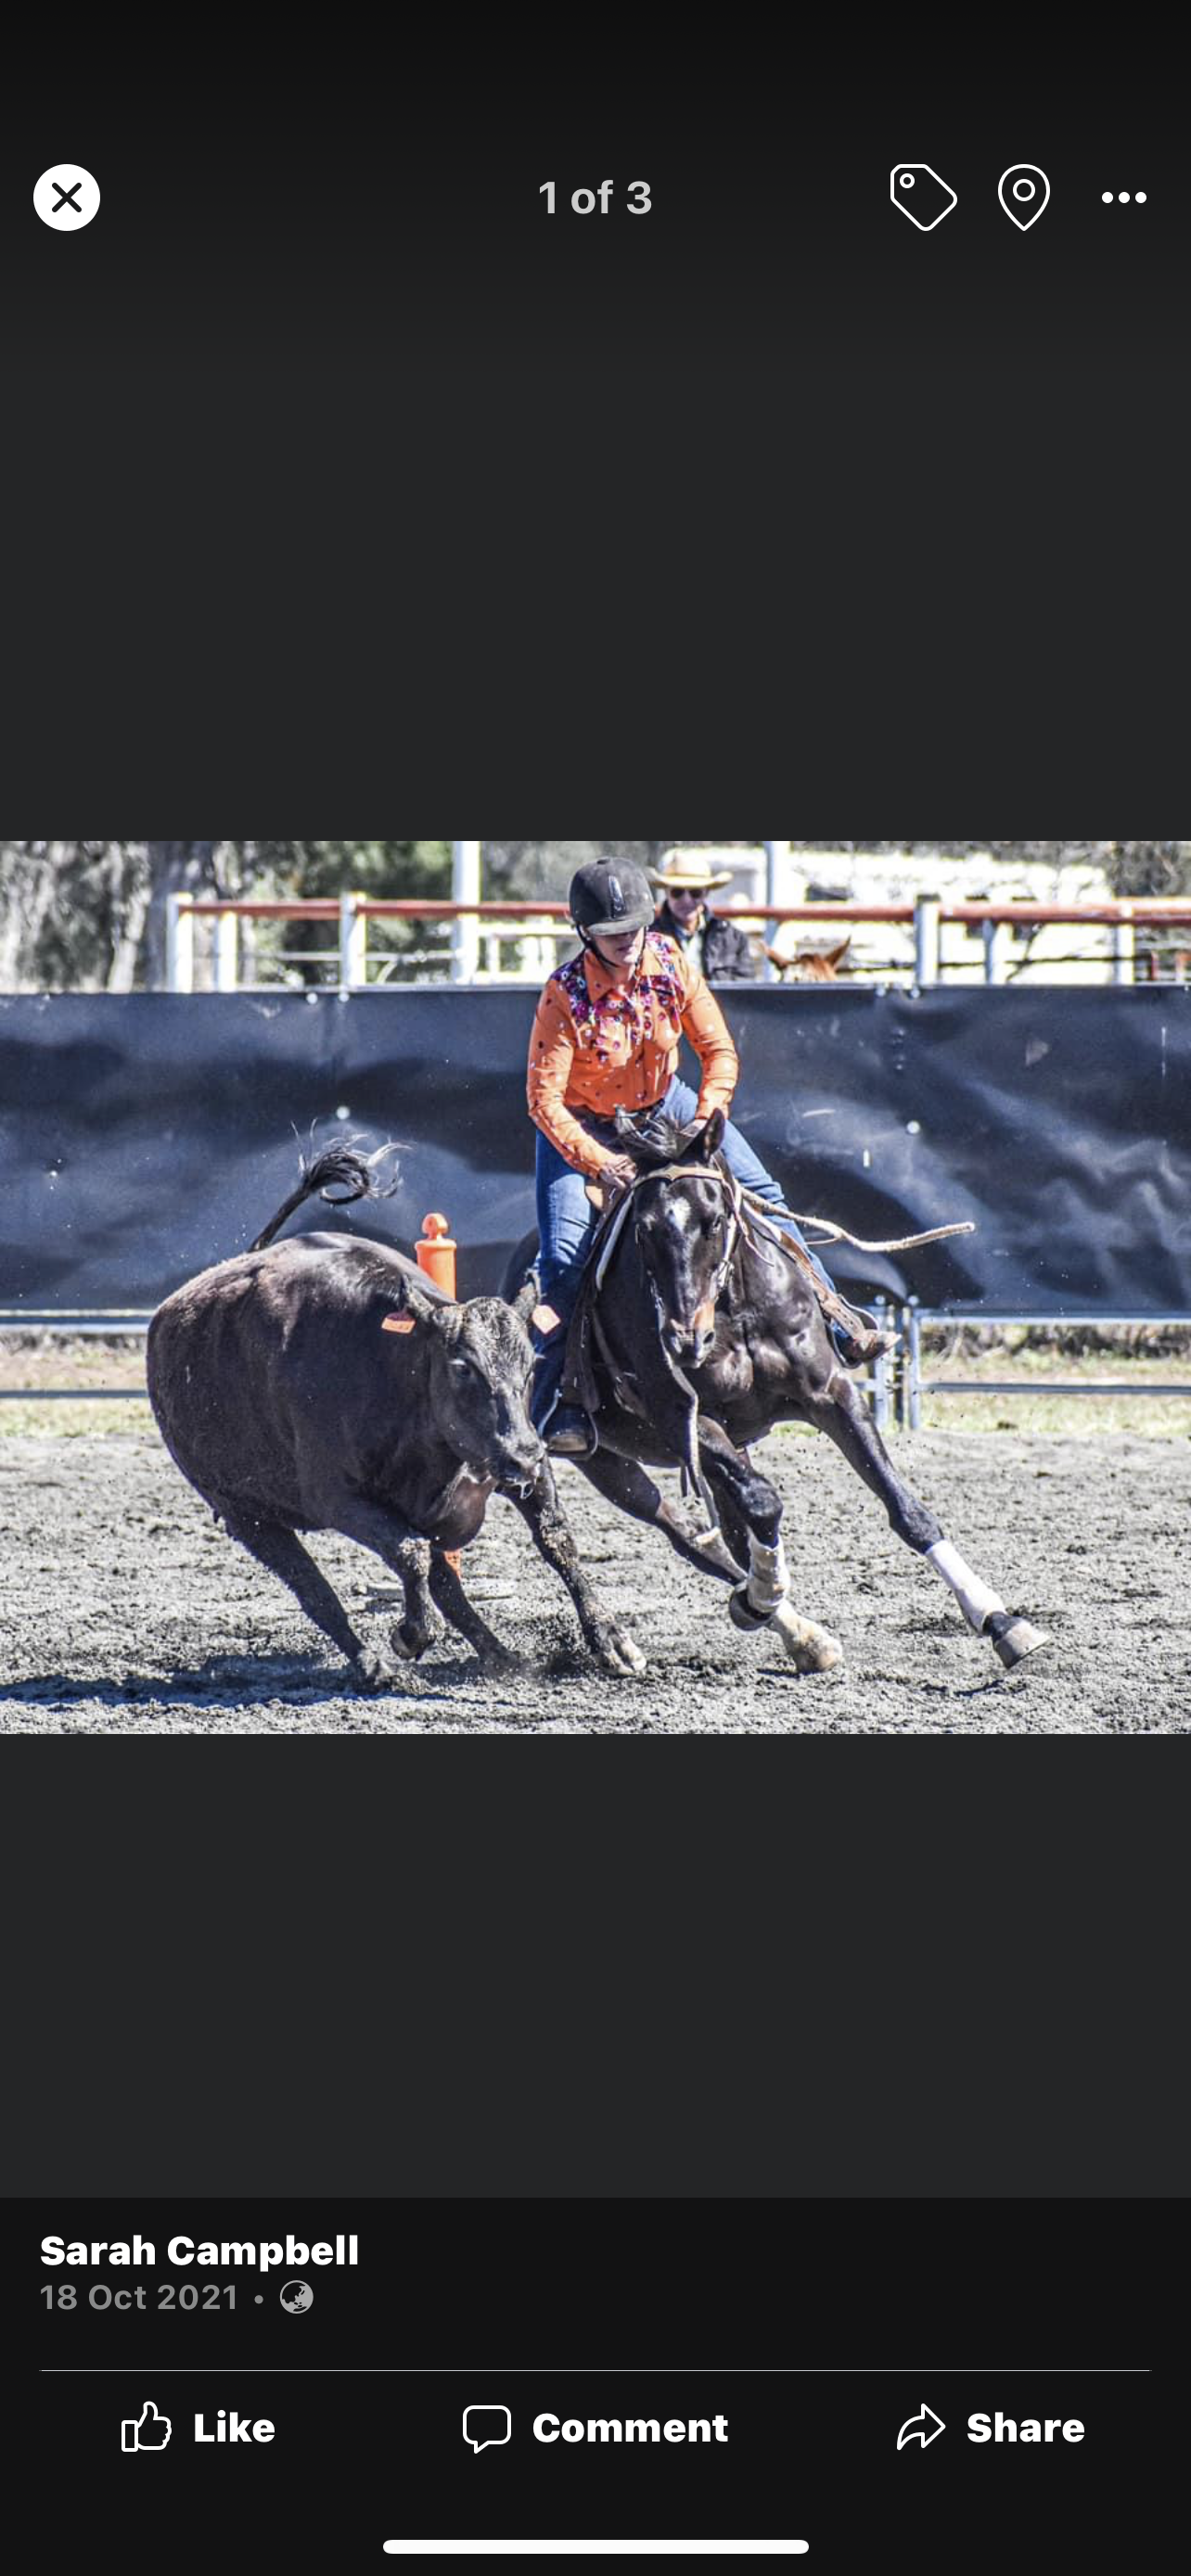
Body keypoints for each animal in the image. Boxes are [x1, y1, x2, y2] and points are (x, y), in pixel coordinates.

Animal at [146, 1146, 645, 1690]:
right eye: (462, 1366)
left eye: (531, 1364)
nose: (522, 1455)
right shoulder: (337, 1498)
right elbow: (408, 1552)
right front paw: (410, 1634)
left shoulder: (518, 1462)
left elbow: (556, 1540)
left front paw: (612, 1640)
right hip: (244, 1512)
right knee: (316, 1589)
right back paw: (373, 1663)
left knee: (443, 1580)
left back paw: (500, 1656)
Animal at [550, 1108, 1048, 1676]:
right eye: (644, 1230)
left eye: (713, 1219)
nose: (684, 1340)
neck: (735, 1308)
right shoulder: (687, 1419)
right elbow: (764, 1503)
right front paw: (762, 1593)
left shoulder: (831, 1395)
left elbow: (906, 1509)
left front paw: (999, 1620)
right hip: (609, 1461)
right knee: (695, 1529)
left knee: (722, 1533)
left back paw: (799, 1634)